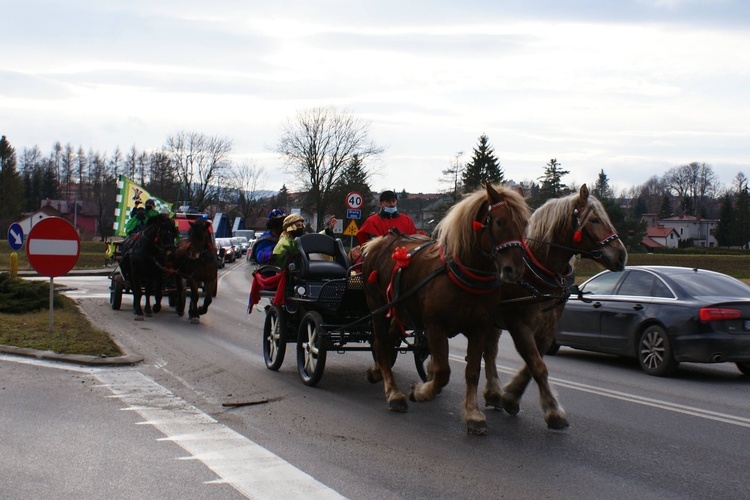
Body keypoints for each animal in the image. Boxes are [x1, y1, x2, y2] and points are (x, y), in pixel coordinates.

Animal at [362, 183, 528, 434]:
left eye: (525, 223)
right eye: (499, 222)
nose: (514, 269)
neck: (462, 275)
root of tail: (378, 242)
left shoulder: (480, 328)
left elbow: (472, 372)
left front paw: (473, 414)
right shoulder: (435, 327)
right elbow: (442, 372)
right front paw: (420, 392)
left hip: (400, 313)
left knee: (388, 342)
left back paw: (376, 373)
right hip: (379, 308)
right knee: (381, 345)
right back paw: (394, 394)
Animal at [494, 186, 628, 428]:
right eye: (594, 220)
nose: (621, 255)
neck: (539, 271)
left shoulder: (547, 330)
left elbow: (534, 365)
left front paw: (511, 396)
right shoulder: (520, 326)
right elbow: (538, 366)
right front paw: (553, 411)